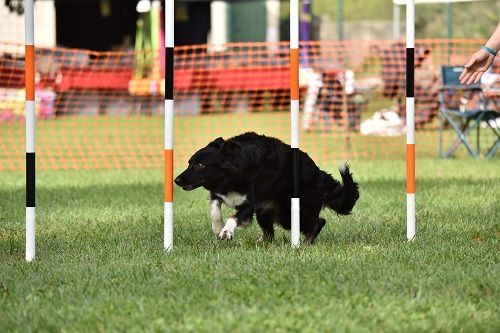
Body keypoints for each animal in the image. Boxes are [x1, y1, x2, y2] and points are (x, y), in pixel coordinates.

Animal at [174, 131, 358, 243]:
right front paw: (218, 227)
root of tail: (318, 173)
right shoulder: (218, 193)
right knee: (270, 235)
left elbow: (233, 217)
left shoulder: (249, 202)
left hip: (288, 213)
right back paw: (262, 242)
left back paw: (305, 243)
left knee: (319, 222)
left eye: (200, 165)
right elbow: (215, 210)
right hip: (266, 211)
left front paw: (227, 232)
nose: (176, 180)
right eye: (189, 162)